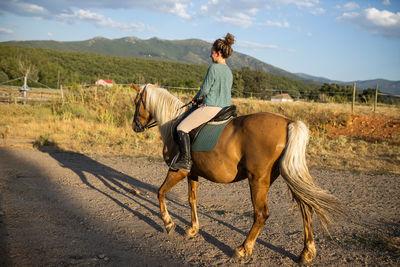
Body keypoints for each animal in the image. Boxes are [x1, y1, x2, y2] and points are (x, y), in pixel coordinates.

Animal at [132, 84, 344, 264]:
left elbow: (160, 192)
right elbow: (192, 200)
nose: (135, 126)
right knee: (305, 207)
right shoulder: (192, 173)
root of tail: (288, 122)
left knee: (261, 214)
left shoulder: (178, 170)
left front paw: (168, 224)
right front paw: (192, 229)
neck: (173, 125)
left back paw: (243, 249)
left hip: (257, 180)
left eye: (136, 102)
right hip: (285, 174)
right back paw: (307, 252)